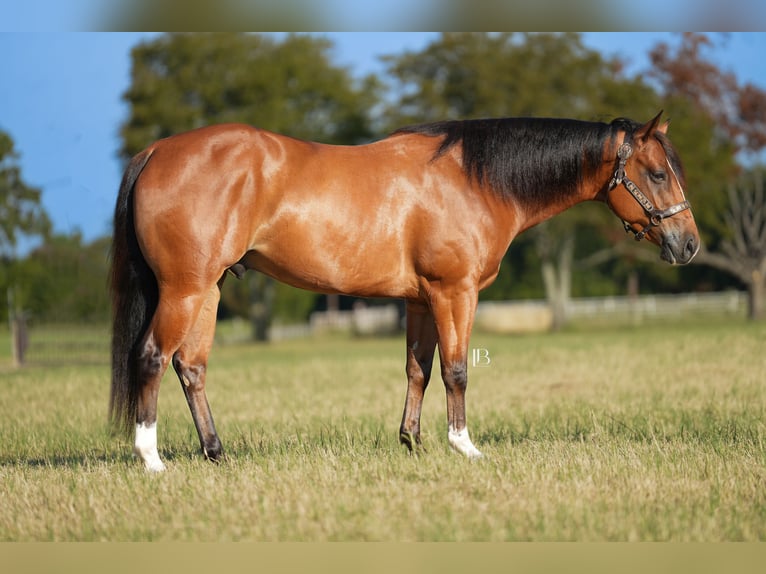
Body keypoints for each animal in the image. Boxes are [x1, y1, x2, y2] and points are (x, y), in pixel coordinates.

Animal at [109, 111, 699, 471]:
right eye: (656, 172)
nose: (689, 244)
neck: (474, 180)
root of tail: (157, 151)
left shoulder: (420, 299)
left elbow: (419, 370)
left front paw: (412, 442)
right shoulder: (454, 293)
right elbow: (457, 370)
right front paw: (465, 446)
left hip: (206, 291)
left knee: (191, 367)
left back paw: (216, 452)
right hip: (184, 289)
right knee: (152, 357)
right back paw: (151, 458)